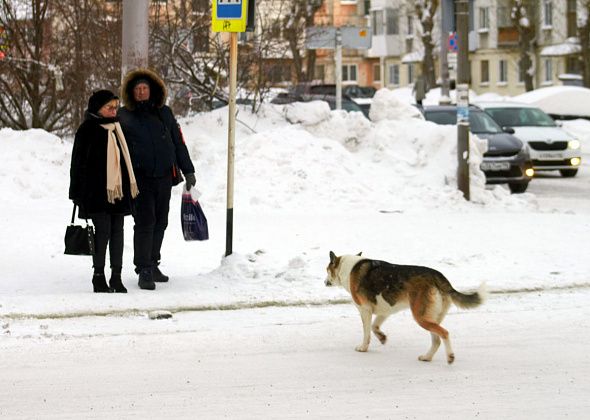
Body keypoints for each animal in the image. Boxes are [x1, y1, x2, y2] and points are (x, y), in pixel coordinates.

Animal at [326, 249, 488, 364]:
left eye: (326, 270)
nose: (325, 282)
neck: (347, 267)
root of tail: (438, 276)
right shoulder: (384, 310)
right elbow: (374, 327)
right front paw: (382, 337)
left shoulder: (365, 310)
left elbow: (367, 333)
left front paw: (363, 348)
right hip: (430, 318)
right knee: (436, 340)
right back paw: (427, 357)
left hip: (420, 317)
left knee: (444, 333)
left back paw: (450, 357)